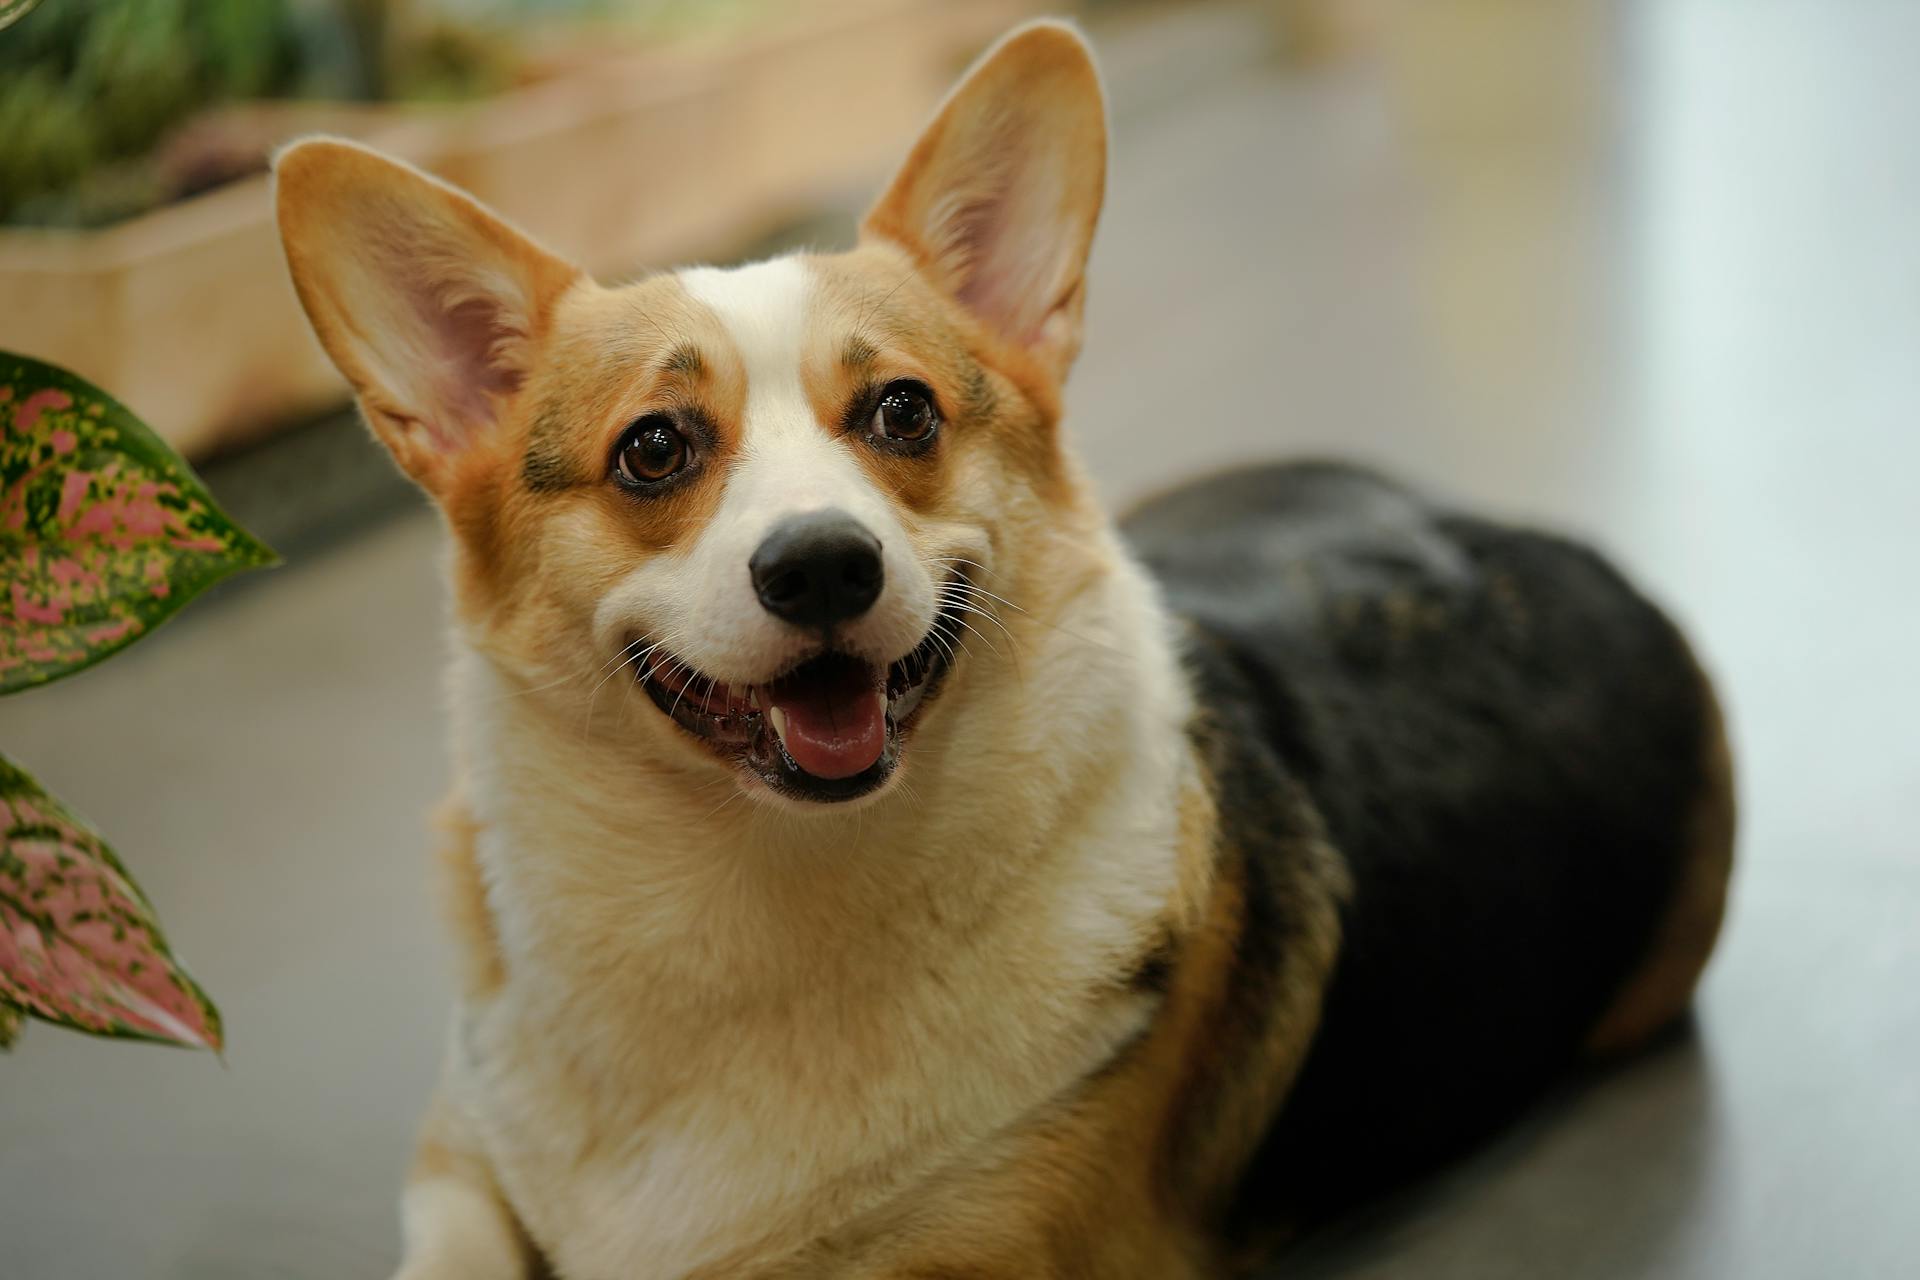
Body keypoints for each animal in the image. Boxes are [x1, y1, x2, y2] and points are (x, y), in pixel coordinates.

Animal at [274, 20, 1743, 1280]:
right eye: (653, 447)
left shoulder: (984, 1251)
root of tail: (1516, 532)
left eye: (902, 411)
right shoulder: (459, 1148)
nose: (825, 563)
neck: (758, 889)